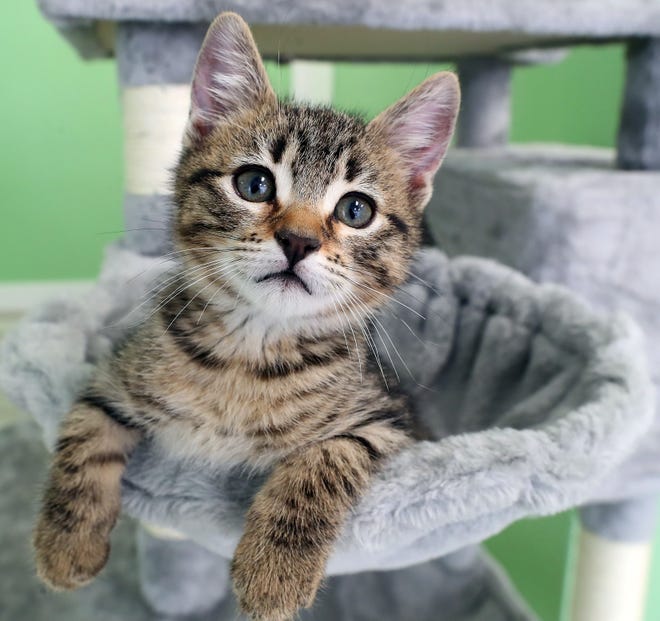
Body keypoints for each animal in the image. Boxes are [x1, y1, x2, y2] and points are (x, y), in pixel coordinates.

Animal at [33, 10, 458, 620]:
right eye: (254, 184)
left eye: (356, 210)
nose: (299, 240)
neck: (250, 350)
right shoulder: (113, 378)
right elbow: (84, 434)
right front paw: (66, 543)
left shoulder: (389, 420)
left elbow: (326, 460)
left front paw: (273, 571)